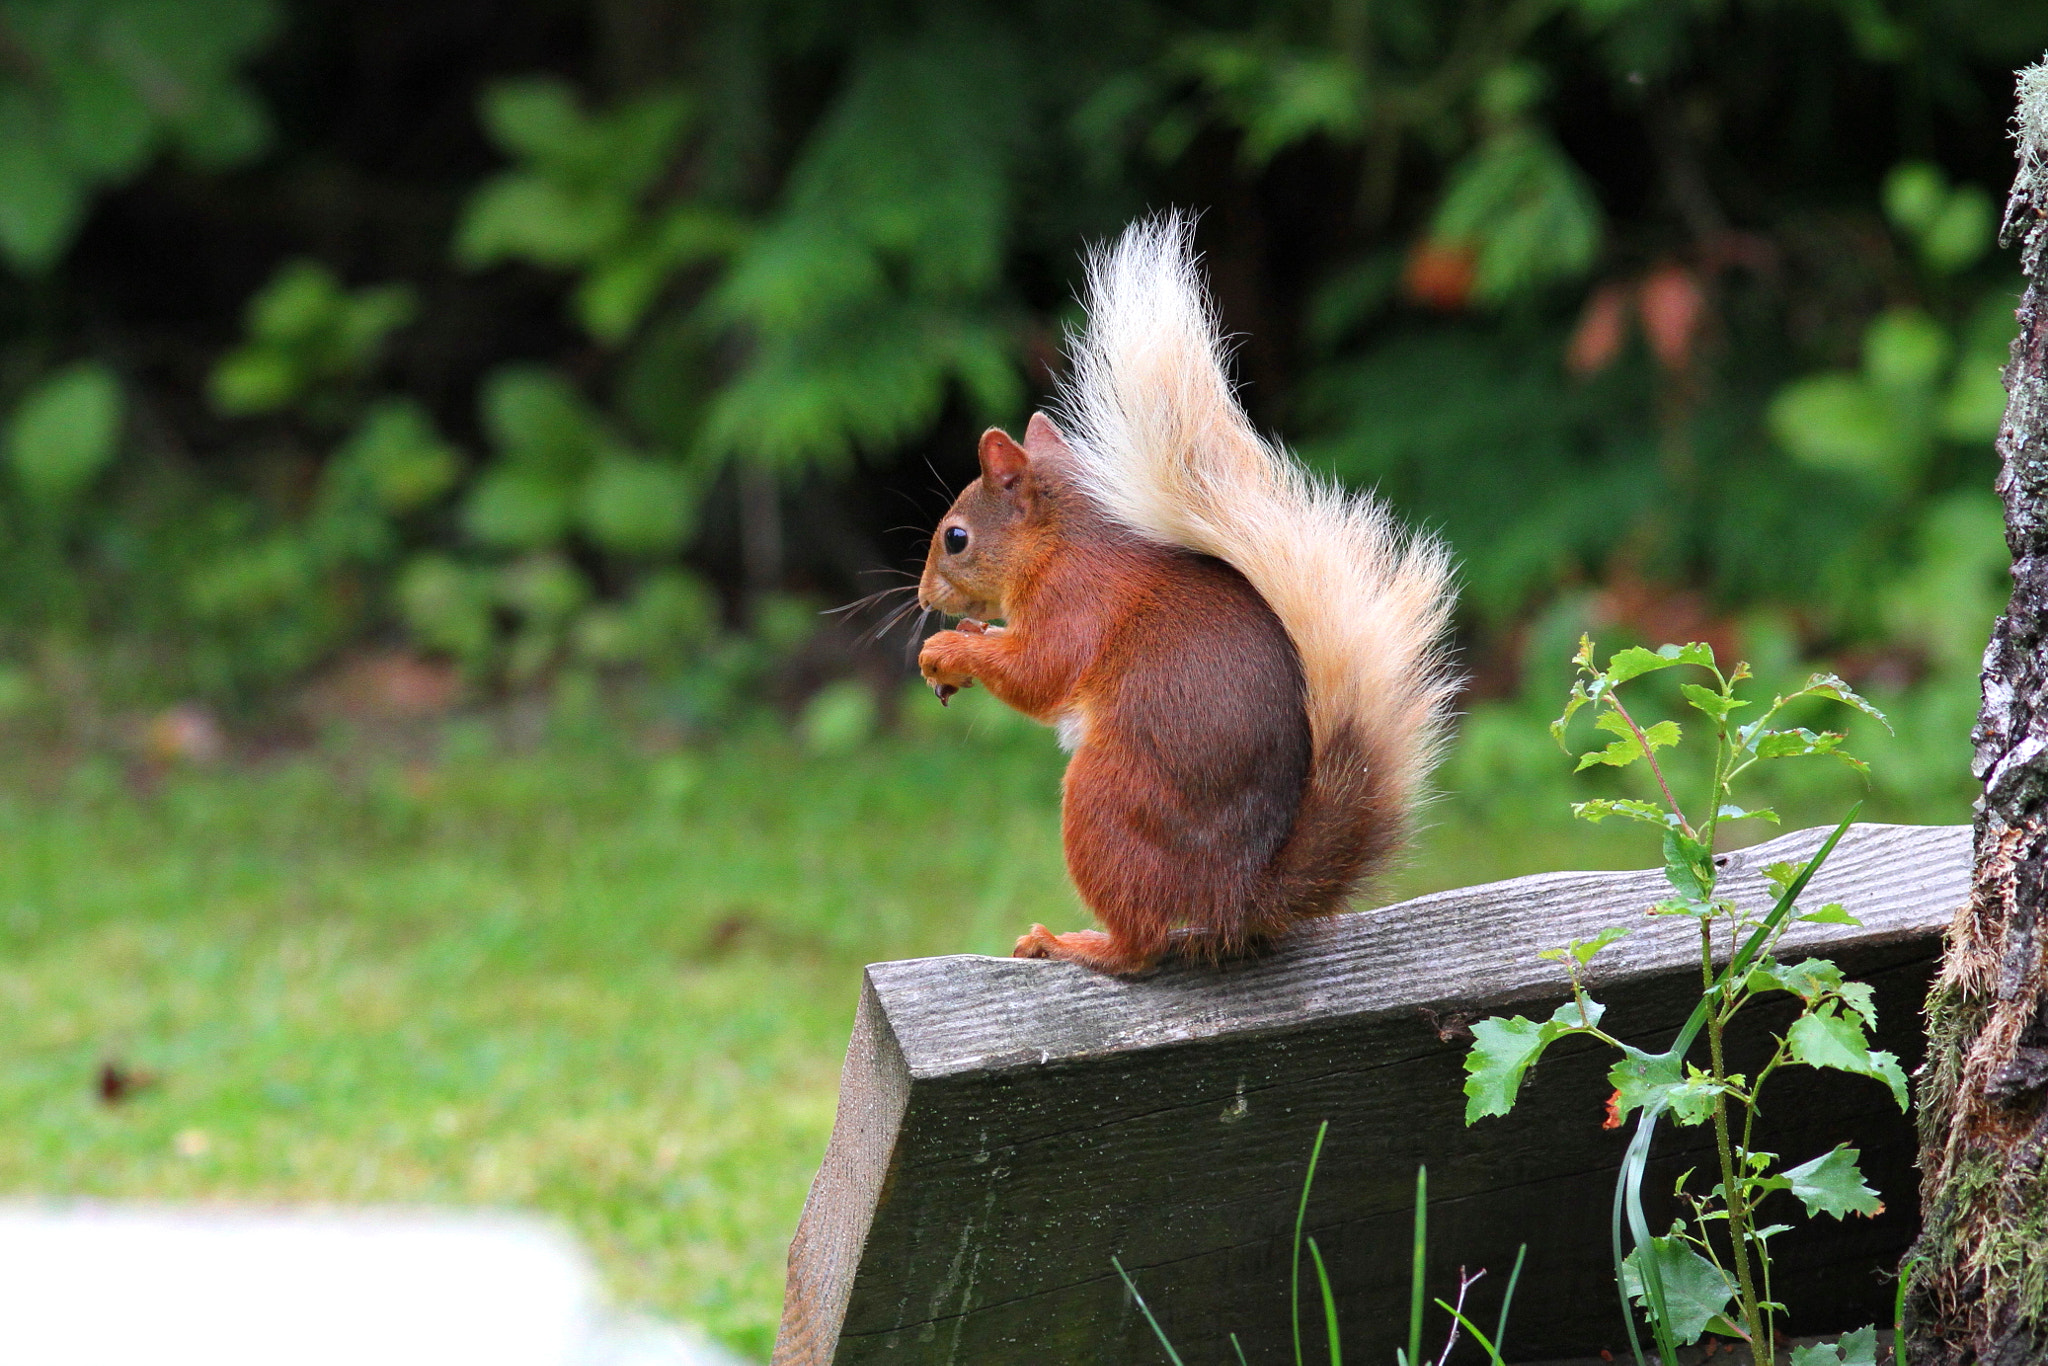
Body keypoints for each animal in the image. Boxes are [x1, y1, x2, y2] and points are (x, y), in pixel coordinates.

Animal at [916, 214, 1457, 975]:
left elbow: (1038, 673)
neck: (1059, 545)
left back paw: (1074, 944)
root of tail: (1241, 897)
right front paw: (965, 641)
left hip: (1107, 800)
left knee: (1142, 945)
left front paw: (946, 650)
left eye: (957, 538)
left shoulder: (1075, 602)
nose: (922, 594)